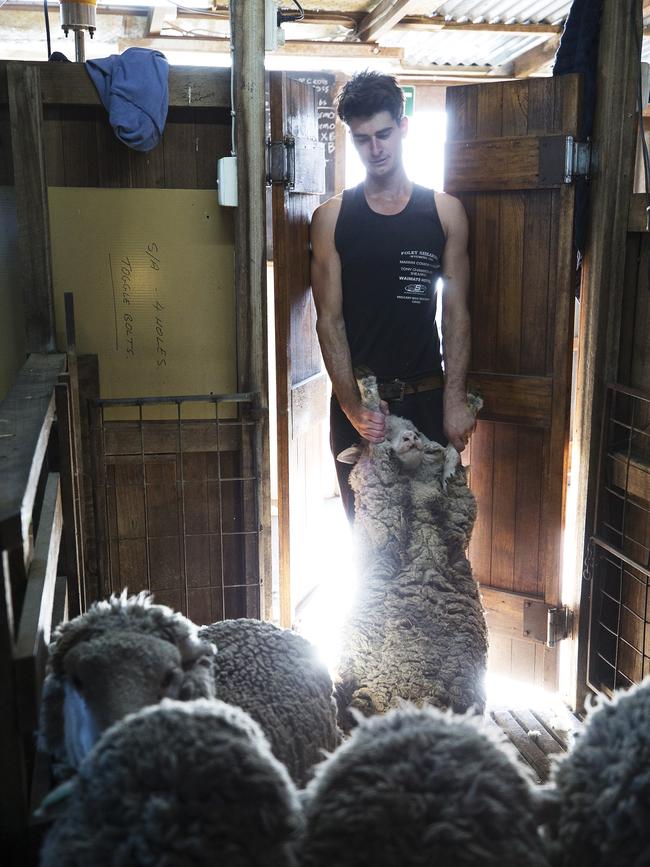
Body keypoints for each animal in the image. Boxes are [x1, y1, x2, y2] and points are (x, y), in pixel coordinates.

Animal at [332, 376, 484, 728]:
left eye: (415, 428)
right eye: (385, 430)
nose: (411, 438)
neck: (414, 482)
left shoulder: (457, 510)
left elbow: (452, 460)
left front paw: (467, 409)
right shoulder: (383, 497)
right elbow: (380, 453)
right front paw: (369, 392)